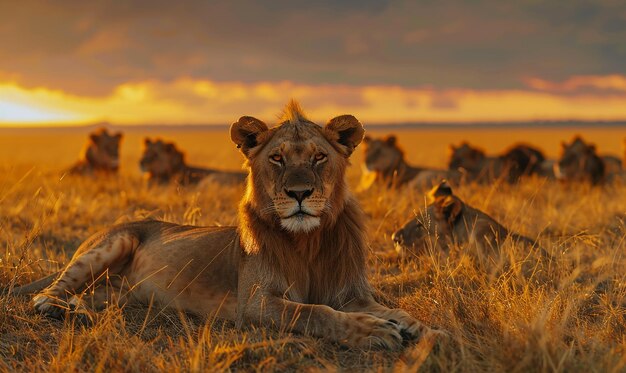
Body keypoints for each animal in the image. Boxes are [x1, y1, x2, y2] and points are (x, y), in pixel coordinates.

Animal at [11, 99, 438, 348]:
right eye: (277, 158)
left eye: (319, 157)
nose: (299, 193)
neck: (309, 242)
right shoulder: (256, 302)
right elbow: (315, 312)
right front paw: (373, 332)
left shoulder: (351, 293)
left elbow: (399, 312)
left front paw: (429, 333)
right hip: (108, 246)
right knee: (48, 292)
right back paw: (63, 310)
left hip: (118, 293)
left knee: (85, 295)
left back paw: (81, 310)